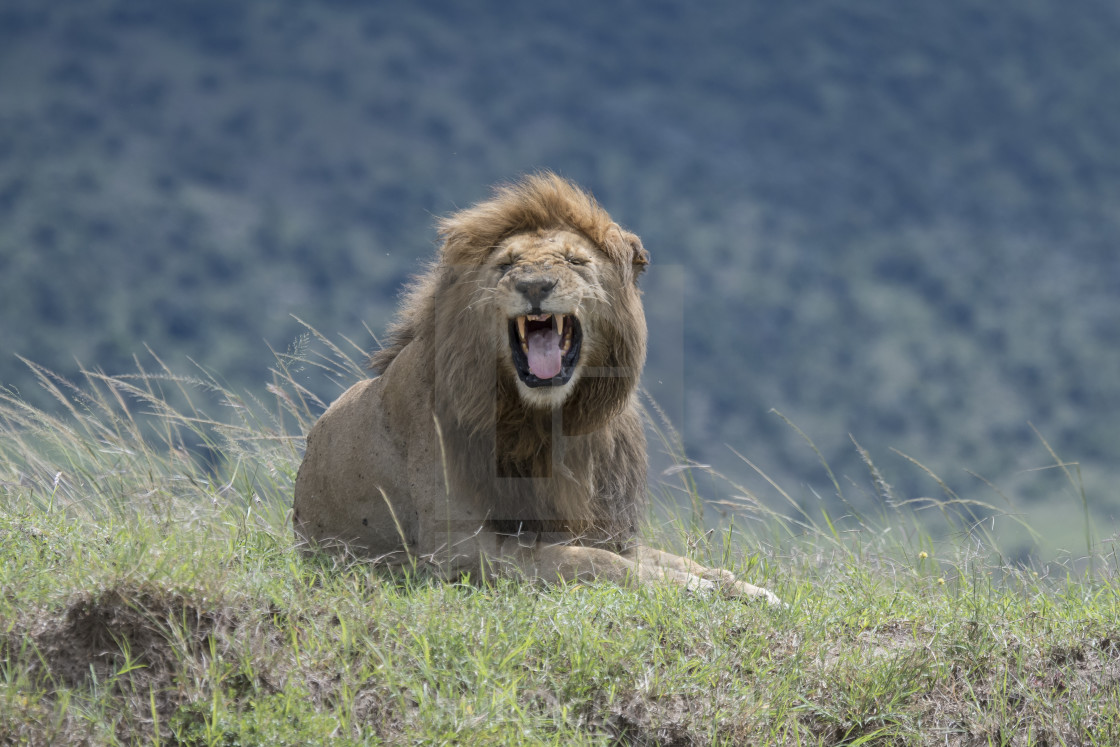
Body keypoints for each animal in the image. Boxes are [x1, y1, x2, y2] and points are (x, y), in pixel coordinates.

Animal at [291, 172, 779, 604]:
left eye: (575, 261)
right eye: (506, 264)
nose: (535, 285)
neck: (552, 420)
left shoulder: (606, 528)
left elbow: (680, 561)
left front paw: (749, 589)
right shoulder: (458, 551)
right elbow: (592, 562)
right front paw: (693, 589)